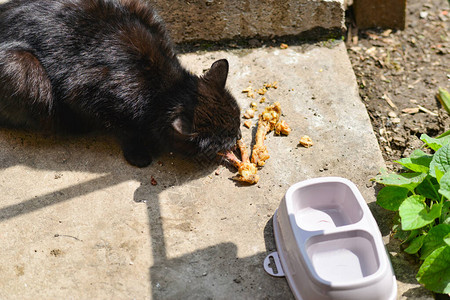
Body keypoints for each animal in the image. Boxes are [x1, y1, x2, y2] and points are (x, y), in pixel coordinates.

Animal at [0, 0, 243, 166]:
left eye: (238, 122)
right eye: (225, 138)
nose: (239, 136)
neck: (164, 88)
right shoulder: (88, 94)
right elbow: (124, 129)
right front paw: (139, 153)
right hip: (23, 70)